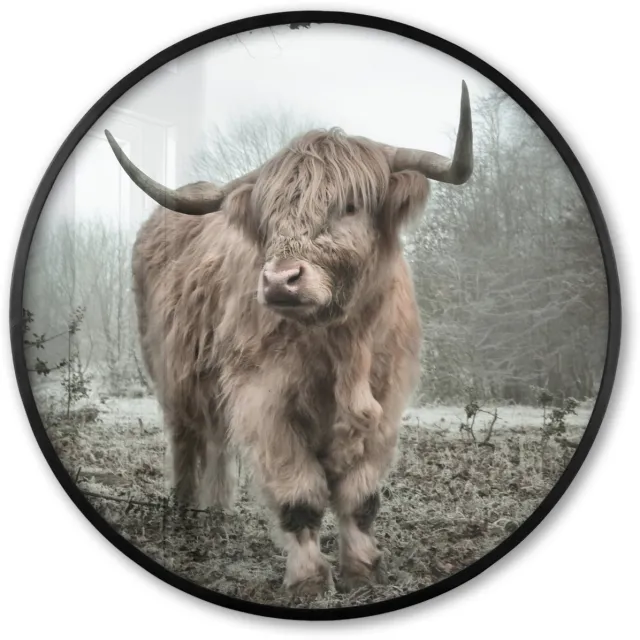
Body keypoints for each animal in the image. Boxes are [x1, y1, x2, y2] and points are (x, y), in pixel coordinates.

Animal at [105, 81, 473, 595]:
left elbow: (361, 497)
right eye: (270, 215)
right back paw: (186, 517)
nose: (281, 281)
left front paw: (363, 571)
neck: (341, 345)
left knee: (216, 444)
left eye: (350, 206)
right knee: (187, 442)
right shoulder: (265, 402)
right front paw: (309, 580)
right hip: (171, 376)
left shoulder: (385, 403)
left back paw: (216, 514)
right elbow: (300, 496)